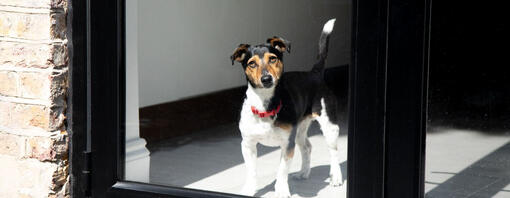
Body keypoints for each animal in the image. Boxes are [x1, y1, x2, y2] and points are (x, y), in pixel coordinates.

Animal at [231, 19, 342, 198]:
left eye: (273, 59)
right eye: (252, 63)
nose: (266, 79)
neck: (265, 105)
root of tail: (315, 73)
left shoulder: (287, 145)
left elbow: (282, 171)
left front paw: (282, 191)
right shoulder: (247, 144)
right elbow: (251, 171)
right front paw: (249, 190)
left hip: (329, 126)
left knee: (333, 152)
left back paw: (336, 177)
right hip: (300, 129)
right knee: (307, 147)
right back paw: (303, 173)